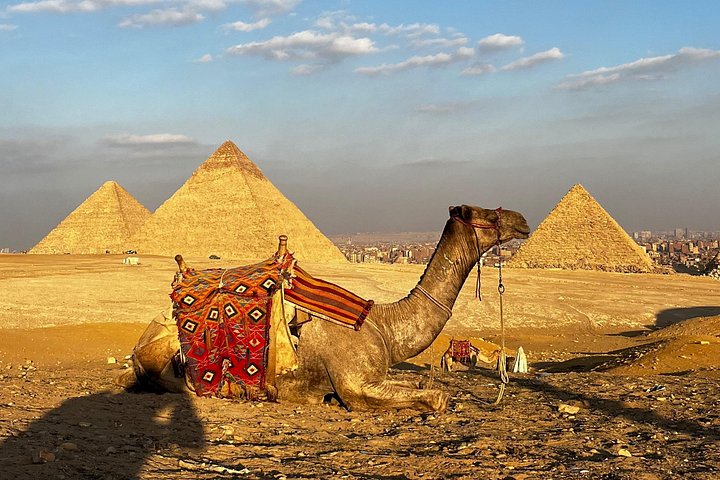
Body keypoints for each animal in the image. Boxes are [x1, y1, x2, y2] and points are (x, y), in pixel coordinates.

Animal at [275, 205, 529, 412]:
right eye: (489, 216)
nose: (522, 220)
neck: (383, 323)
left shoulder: (378, 378)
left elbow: (416, 382)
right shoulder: (357, 387)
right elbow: (439, 397)